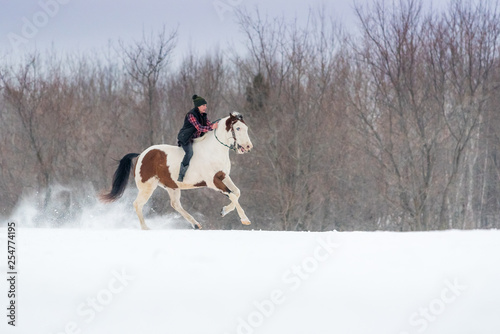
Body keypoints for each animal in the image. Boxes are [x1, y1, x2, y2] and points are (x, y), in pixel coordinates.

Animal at [99, 112, 254, 230]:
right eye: (238, 128)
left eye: (246, 127)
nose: (248, 147)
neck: (213, 150)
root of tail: (141, 155)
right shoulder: (212, 181)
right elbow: (232, 195)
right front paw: (245, 219)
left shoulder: (224, 176)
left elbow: (237, 192)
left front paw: (223, 211)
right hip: (147, 187)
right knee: (137, 204)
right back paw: (146, 228)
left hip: (172, 186)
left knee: (175, 204)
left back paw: (196, 224)